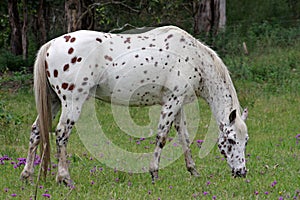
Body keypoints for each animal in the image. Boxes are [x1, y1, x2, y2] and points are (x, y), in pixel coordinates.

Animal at [20, 25, 248, 185]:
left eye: (245, 141)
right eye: (230, 140)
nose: (241, 172)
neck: (193, 58)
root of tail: (51, 45)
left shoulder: (178, 103)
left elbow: (184, 137)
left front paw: (193, 171)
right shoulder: (172, 102)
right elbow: (162, 137)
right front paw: (154, 173)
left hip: (53, 101)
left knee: (36, 131)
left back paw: (27, 176)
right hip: (72, 102)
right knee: (61, 134)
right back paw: (64, 178)